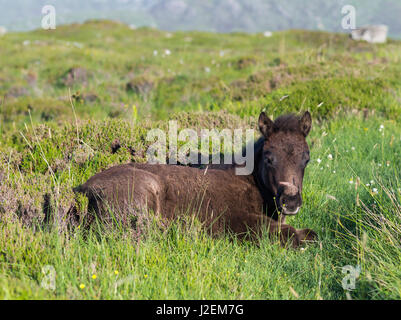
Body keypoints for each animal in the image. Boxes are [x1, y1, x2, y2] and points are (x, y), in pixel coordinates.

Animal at [72, 112, 316, 248]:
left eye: (307, 158)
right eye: (268, 158)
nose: (291, 202)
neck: (253, 185)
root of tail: (82, 190)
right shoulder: (232, 220)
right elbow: (292, 234)